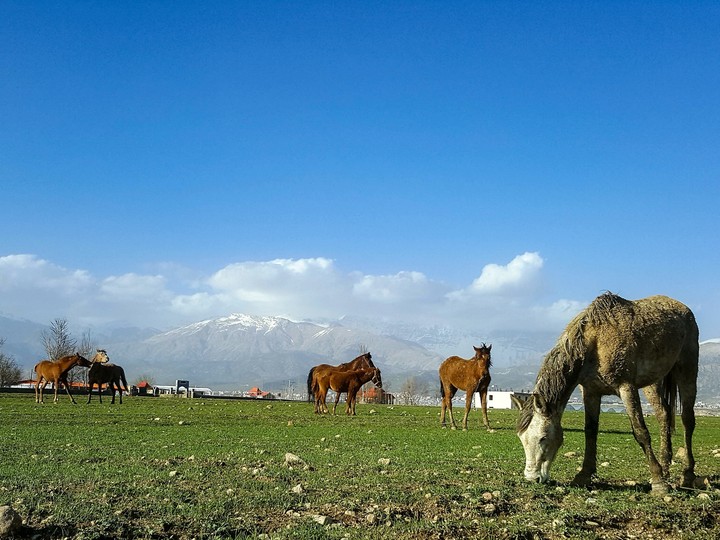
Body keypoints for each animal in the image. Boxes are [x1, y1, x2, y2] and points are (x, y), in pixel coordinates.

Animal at [514, 292, 699, 495]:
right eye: (521, 438)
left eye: (543, 438)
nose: (532, 478)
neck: (594, 343)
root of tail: (684, 309)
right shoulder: (590, 392)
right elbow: (590, 431)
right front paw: (583, 476)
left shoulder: (626, 388)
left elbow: (640, 432)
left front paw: (658, 483)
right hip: (653, 382)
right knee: (663, 414)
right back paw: (665, 467)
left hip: (687, 368)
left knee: (688, 420)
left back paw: (687, 475)